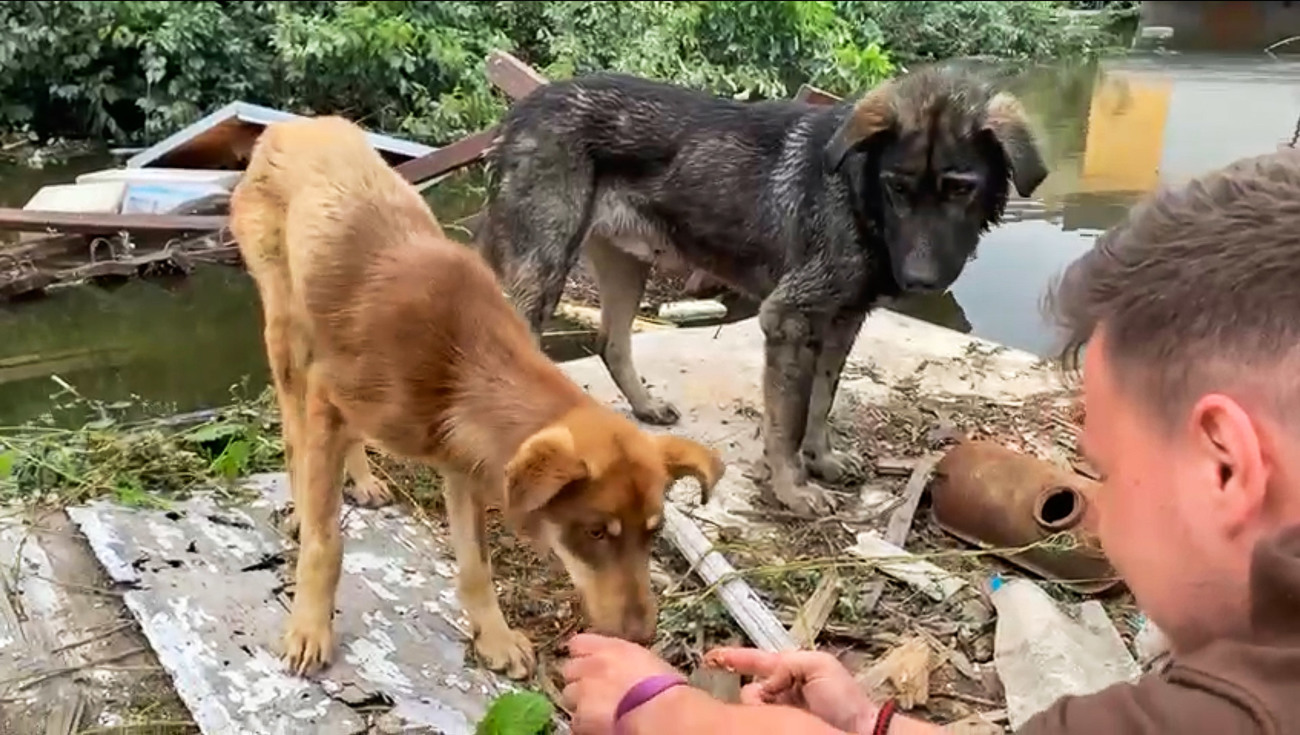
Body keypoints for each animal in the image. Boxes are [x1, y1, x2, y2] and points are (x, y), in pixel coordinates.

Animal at [228, 115, 728, 681]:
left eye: (653, 534)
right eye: (597, 533)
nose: (643, 638)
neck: (465, 360)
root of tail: (296, 125)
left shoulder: (461, 462)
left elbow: (475, 566)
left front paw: (494, 637)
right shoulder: (328, 397)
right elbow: (326, 541)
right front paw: (311, 626)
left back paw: (362, 480)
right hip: (287, 334)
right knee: (294, 434)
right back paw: (303, 502)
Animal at [475, 67, 1045, 515]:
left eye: (960, 189)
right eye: (897, 187)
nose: (919, 280)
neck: (855, 193)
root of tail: (520, 111)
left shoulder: (843, 319)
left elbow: (821, 400)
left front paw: (822, 459)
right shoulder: (788, 317)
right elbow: (788, 417)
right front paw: (793, 489)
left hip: (625, 263)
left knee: (611, 342)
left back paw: (646, 408)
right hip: (543, 262)